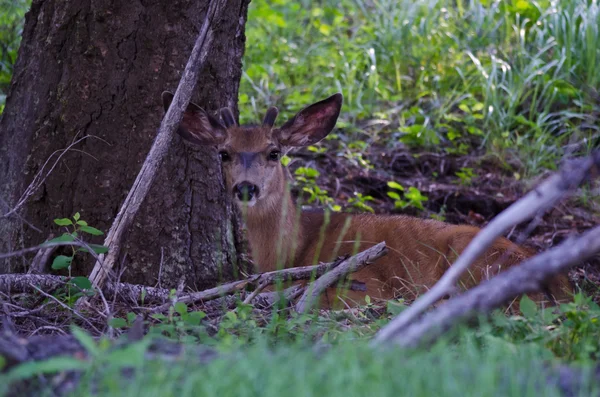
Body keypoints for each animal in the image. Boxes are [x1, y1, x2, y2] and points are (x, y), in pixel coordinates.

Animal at [161, 91, 572, 308]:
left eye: (274, 152)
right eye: (224, 153)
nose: (246, 188)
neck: (290, 251)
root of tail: (564, 284)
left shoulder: (359, 283)